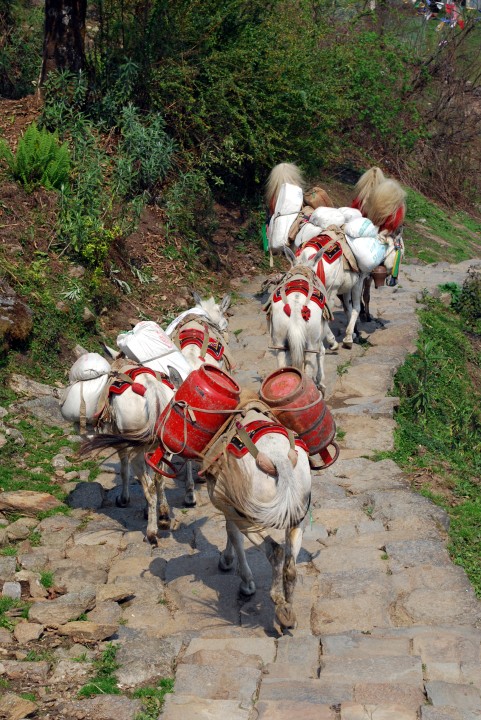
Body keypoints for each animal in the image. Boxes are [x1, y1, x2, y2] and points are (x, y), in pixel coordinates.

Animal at [202, 402, 312, 633]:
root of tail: (278, 458)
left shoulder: (228, 504)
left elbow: (233, 534)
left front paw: (242, 579)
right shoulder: (230, 505)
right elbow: (231, 531)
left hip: (249, 518)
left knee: (275, 551)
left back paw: (280, 607)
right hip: (298, 519)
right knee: (290, 564)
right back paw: (288, 612)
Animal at [266, 247, 330, 393]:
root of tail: (295, 308)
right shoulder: (320, 336)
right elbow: (321, 352)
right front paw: (321, 382)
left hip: (279, 339)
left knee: (282, 365)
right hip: (311, 341)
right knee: (309, 368)